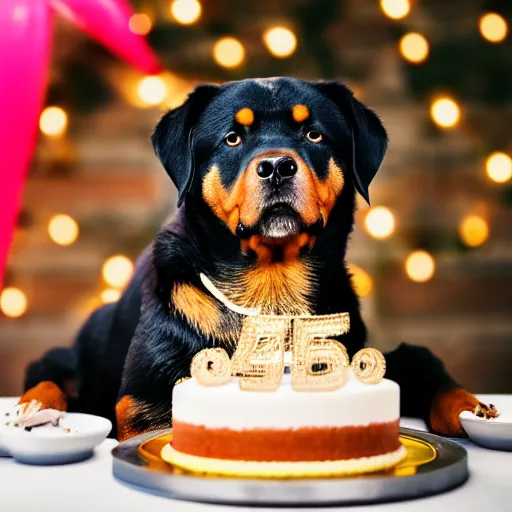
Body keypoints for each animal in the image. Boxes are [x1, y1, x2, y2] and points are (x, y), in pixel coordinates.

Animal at [21, 77, 496, 440]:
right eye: (233, 138)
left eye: (313, 134)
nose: (277, 166)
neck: (271, 286)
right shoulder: (144, 401)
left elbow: (424, 364)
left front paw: (472, 408)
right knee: (46, 377)